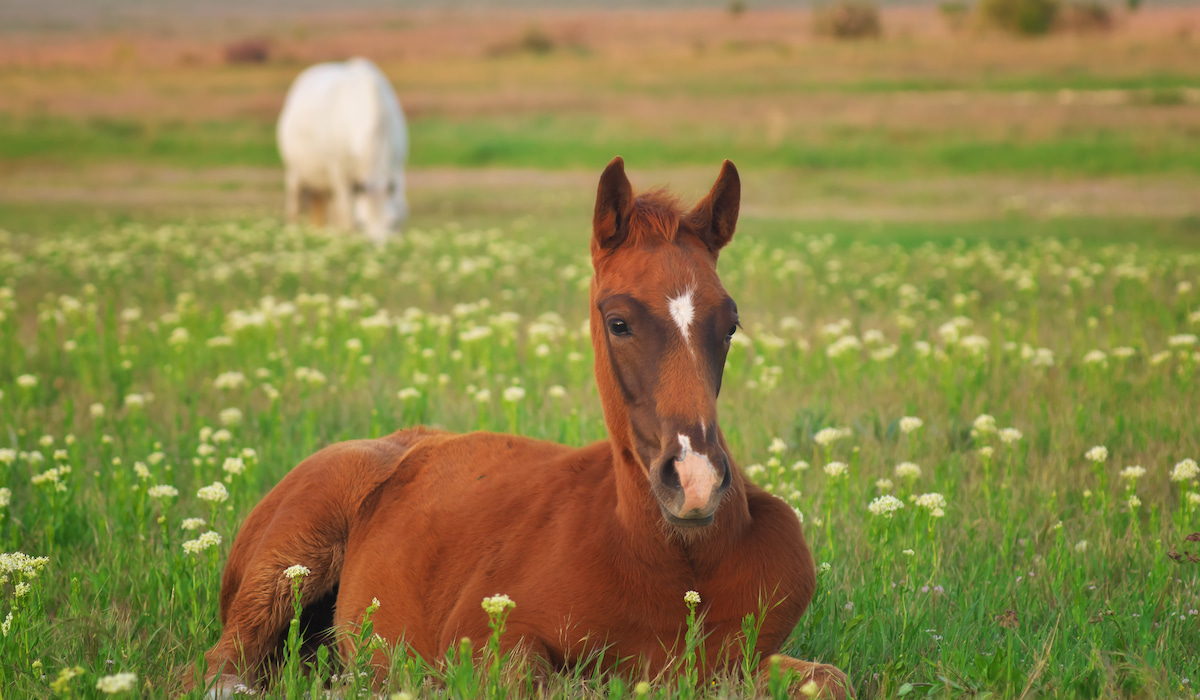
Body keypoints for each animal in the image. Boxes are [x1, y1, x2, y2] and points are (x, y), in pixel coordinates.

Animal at [201, 157, 850, 698]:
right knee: (219, 666)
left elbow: (830, 679)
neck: (671, 562)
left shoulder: (741, 660)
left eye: (731, 323)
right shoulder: (478, 641)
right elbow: (542, 680)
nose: (696, 482)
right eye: (618, 321)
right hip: (289, 561)